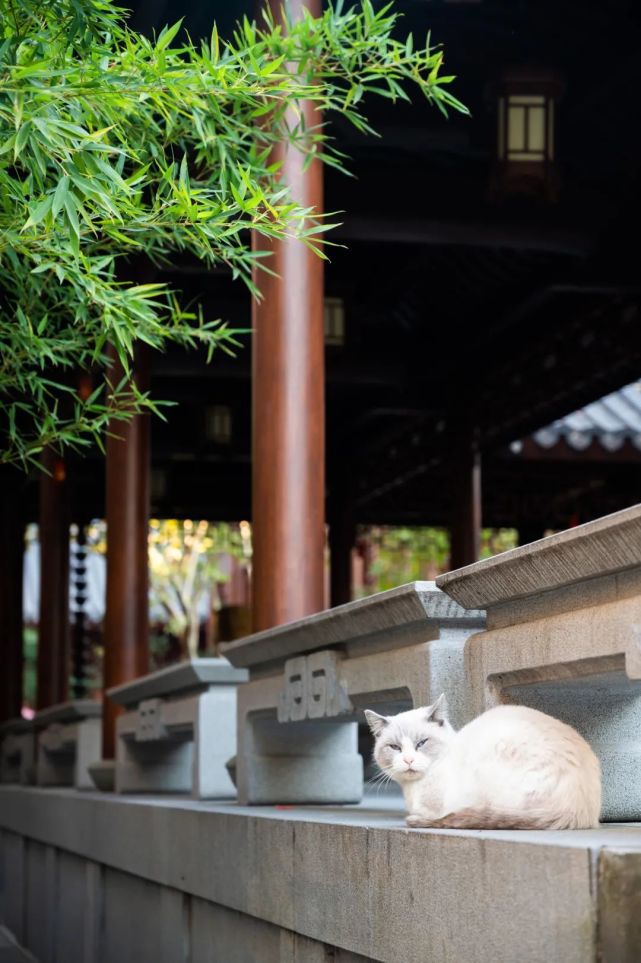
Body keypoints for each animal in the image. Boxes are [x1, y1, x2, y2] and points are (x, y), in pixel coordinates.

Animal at [364, 692, 600, 828]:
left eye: (421, 743)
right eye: (395, 747)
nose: (408, 760)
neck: (412, 791)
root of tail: (574, 810)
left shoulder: (436, 806)